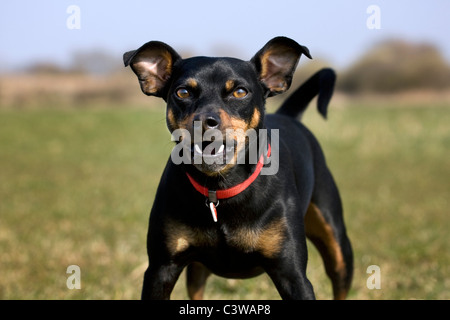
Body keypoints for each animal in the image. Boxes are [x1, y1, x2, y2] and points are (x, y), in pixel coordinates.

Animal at [125, 37, 354, 300]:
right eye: (182, 92)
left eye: (240, 91)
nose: (204, 121)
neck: (220, 188)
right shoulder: (161, 269)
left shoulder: (293, 275)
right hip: (197, 269)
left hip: (338, 246)